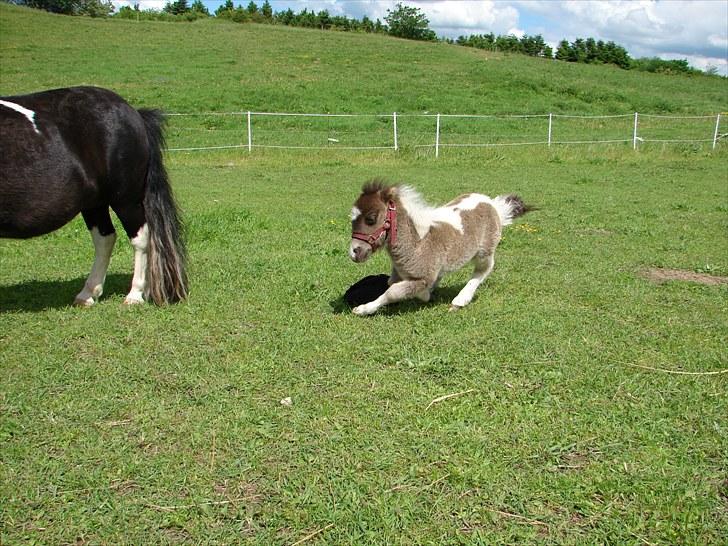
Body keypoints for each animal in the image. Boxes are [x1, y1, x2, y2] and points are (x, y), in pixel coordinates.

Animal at [1, 86, 188, 306]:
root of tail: (132, 112)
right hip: (94, 204)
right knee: (105, 238)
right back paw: (88, 294)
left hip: (126, 200)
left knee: (141, 238)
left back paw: (135, 295)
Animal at [350, 178, 532, 314]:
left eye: (371, 219)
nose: (354, 252)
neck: (418, 243)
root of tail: (492, 204)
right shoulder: (399, 273)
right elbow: (390, 283)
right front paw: (428, 293)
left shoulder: (422, 278)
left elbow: (393, 292)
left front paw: (363, 309)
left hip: (484, 251)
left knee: (484, 269)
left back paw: (460, 300)